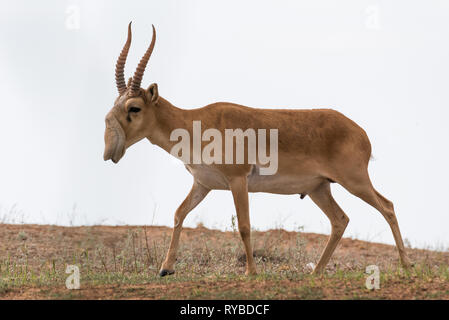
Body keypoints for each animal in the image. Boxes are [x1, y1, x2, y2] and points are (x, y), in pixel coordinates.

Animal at [103, 23, 412, 276]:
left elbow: (244, 225)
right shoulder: (203, 184)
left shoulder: (237, 180)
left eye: (134, 107)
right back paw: (316, 272)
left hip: (354, 181)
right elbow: (179, 213)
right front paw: (166, 268)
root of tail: (361, 133)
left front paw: (251, 272)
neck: (196, 123)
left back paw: (406, 266)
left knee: (387, 206)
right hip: (319, 188)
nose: (110, 152)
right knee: (340, 220)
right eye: (116, 105)